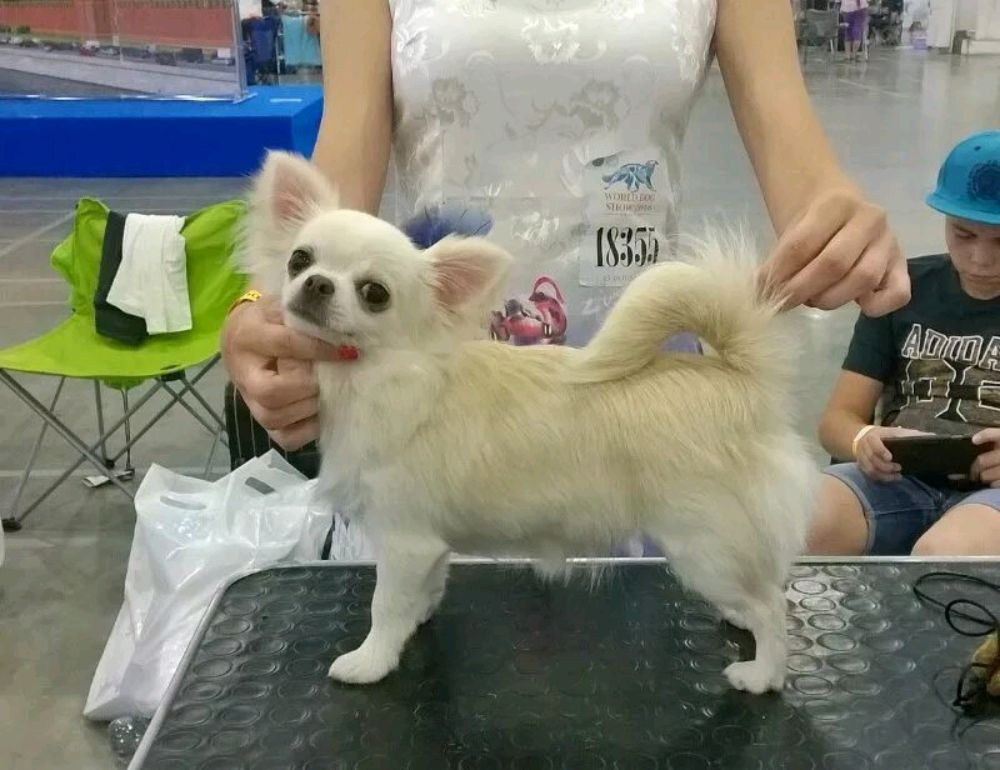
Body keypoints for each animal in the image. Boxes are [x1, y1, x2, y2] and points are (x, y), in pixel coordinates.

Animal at [244, 151, 818, 694]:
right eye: (299, 259)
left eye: (374, 293)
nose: (317, 283)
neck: (379, 374)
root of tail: (741, 379)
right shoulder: (428, 546)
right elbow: (422, 591)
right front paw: (419, 617)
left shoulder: (404, 540)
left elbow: (384, 607)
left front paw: (371, 660)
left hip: (703, 545)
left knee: (772, 607)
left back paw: (763, 674)